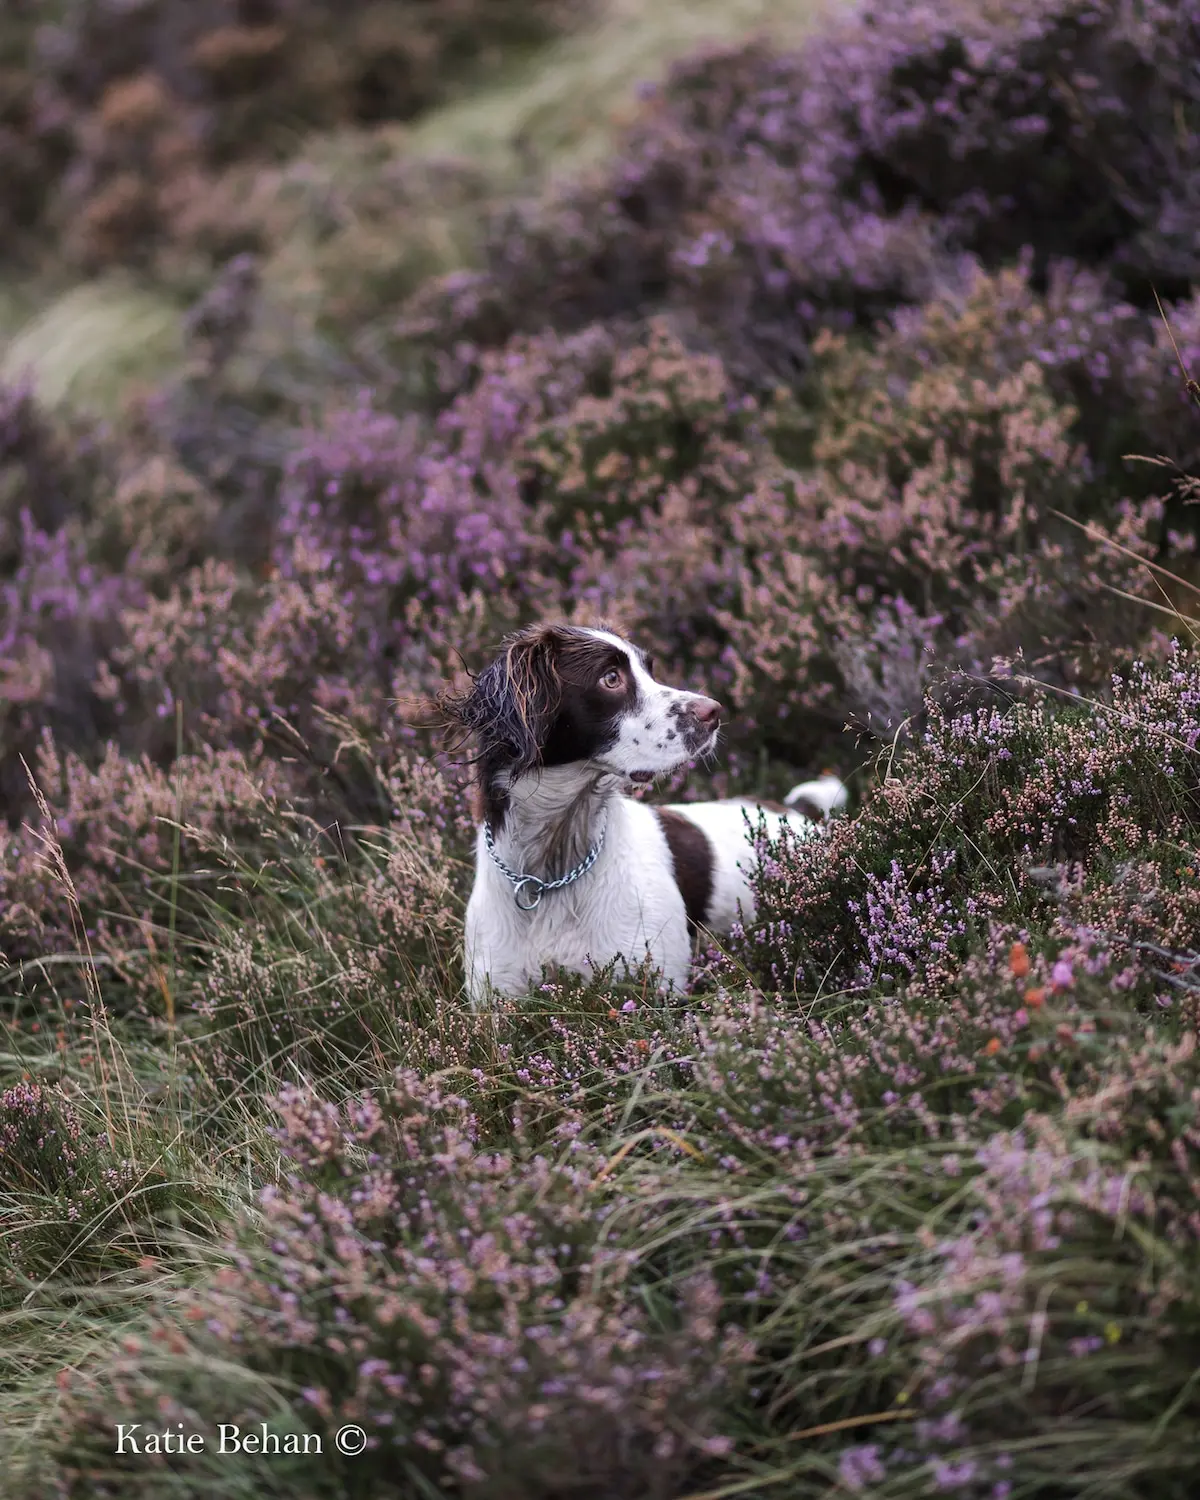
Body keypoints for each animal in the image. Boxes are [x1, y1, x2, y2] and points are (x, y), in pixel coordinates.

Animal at [444, 624, 852, 1008]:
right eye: (611, 678)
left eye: (649, 669)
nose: (713, 712)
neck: (552, 869)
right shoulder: (496, 1002)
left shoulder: (655, 989)